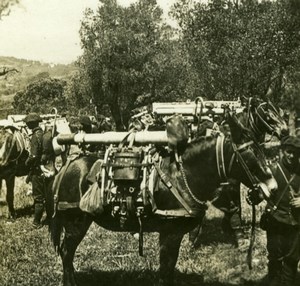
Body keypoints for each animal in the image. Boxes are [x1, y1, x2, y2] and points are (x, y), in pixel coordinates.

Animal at [49, 112, 278, 286]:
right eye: (250, 152)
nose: (272, 188)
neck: (181, 177)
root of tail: (68, 165)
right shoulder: (170, 233)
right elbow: (166, 270)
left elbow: (167, 269)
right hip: (75, 223)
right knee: (66, 253)